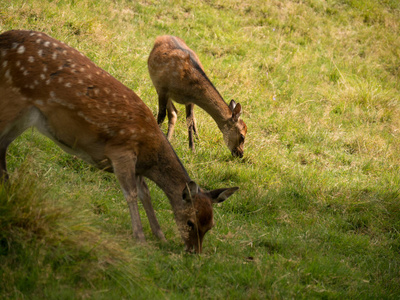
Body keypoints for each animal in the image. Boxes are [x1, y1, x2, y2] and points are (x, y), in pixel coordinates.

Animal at [0, 29, 238, 253]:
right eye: (190, 222)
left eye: (210, 226)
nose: (194, 252)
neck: (149, 155)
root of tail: (5, 37)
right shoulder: (121, 151)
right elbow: (131, 193)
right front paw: (139, 238)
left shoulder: (138, 167)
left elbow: (146, 193)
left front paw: (159, 236)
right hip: (13, 100)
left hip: (24, 116)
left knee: (3, 145)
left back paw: (9, 188)